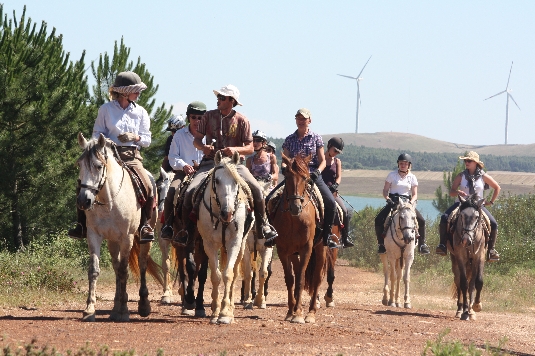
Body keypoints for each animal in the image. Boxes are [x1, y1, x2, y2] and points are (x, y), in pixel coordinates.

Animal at [76, 132, 162, 322]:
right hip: (112, 241)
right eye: (79, 165)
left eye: (98, 166)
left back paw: (143, 306)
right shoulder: (94, 235)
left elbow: (124, 270)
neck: (109, 200)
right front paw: (89, 310)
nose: (83, 201)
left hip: (144, 239)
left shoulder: (127, 237)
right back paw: (115, 307)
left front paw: (124, 311)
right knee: (116, 267)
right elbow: (94, 270)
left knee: (142, 264)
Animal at [198, 152, 254, 324]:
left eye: (236, 181)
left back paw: (231, 308)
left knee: (235, 273)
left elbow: (228, 274)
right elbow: (215, 276)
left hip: (242, 246)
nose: (227, 213)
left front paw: (224, 313)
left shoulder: (234, 243)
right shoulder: (209, 244)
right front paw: (215, 311)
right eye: (217, 180)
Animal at [272, 154, 326, 324]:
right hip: (293, 253)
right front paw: (291, 311)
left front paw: (298, 315)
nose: (296, 206)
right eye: (287, 176)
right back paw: (299, 308)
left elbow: (301, 279)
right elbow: (290, 279)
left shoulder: (306, 249)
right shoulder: (283, 250)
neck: (294, 219)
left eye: (306, 177)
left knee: (317, 278)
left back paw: (310, 313)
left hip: (321, 248)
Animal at [446, 193, 488, 322]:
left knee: (471, 284)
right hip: (455, 260)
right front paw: (464, 312)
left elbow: (478, 282)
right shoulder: (460, 257)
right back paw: (461, 310)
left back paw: (471, 311)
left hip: (472, 263)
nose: (466, 240)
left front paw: (476, 306)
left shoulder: (480, 256)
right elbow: (463, 283)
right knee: (458, 281)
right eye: (462, 215)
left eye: (476, 217)